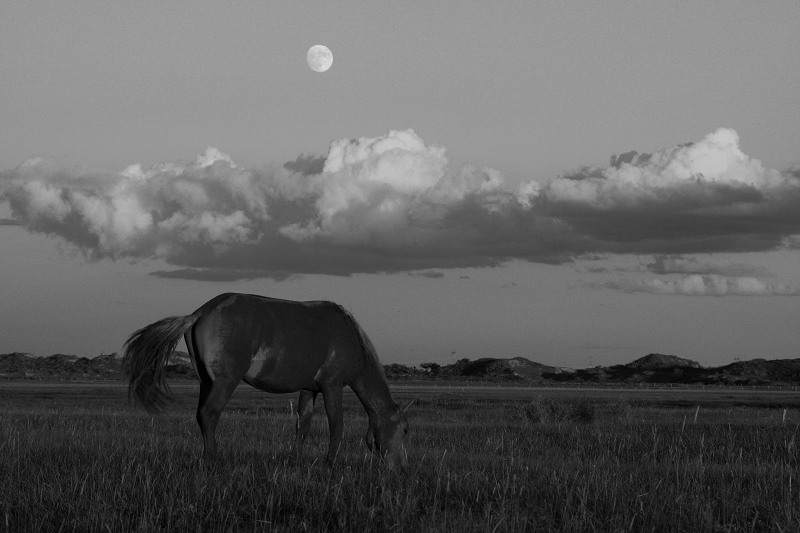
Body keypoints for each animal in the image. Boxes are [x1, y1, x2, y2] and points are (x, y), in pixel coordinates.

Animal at [126, 294, 412, 468]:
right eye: (406, 431)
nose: (400, 469)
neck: (348, 336)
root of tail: (199, 312)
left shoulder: (309, 390)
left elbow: (303, 425)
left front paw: (295, 460)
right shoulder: (332, 387)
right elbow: (336, 425)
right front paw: (330, 463)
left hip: (206, 382)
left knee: (200, 415)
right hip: (225, 382)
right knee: (209, 413)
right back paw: (213, 460)